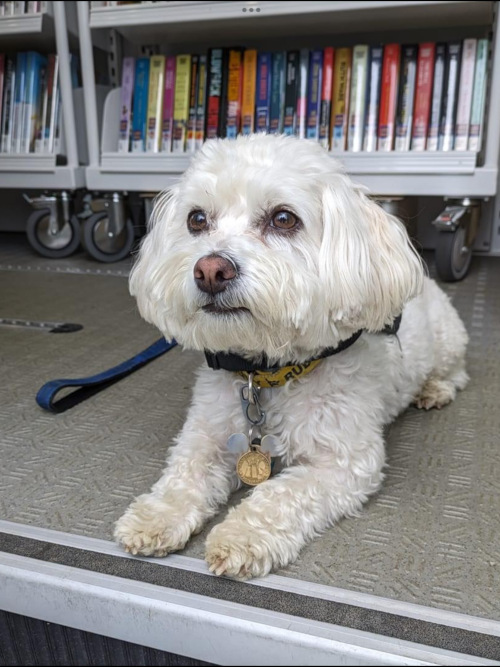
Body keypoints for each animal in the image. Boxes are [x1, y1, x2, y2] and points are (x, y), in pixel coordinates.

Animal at [115, 134, 470, 580]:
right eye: (196, 219)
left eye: (283, 219)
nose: (210, 269)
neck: (269, 374)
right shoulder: (204, 435)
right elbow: (183, 473)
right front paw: (156, 517)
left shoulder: (344, 463)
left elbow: (280, 494)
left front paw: (241, 536)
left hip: (448, 339)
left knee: (455, 373)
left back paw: (434, 390)